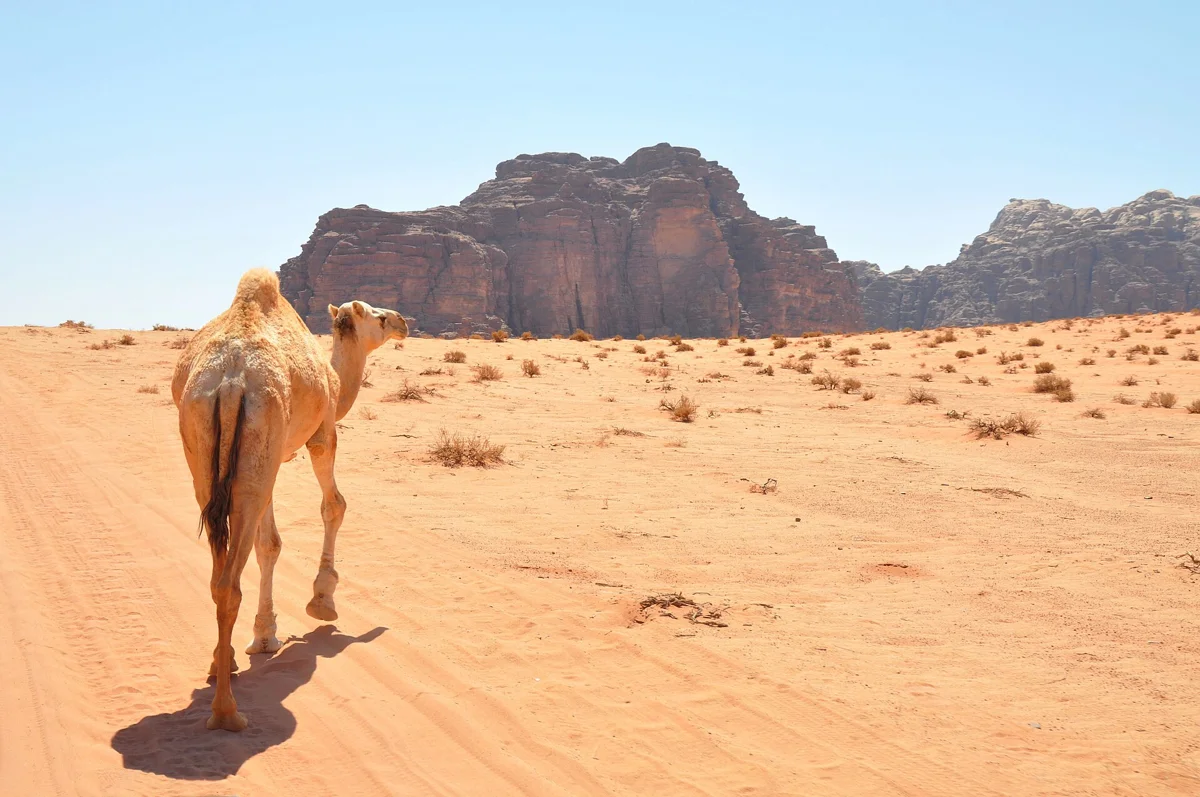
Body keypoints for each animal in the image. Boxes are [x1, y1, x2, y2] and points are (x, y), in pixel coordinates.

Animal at [172, 268, 407, 731]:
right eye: (377, 316)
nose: (402, 321)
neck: (334, 378)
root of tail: (230, 380)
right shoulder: (323, 431)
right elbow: (334, 505)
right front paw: (322, 602)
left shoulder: (272, 458)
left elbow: (269, 545)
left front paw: (264, 635)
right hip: (257, 446)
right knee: (228, 583)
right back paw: (227, 712)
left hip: (207, 456)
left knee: (219, 572)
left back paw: (221, 664)